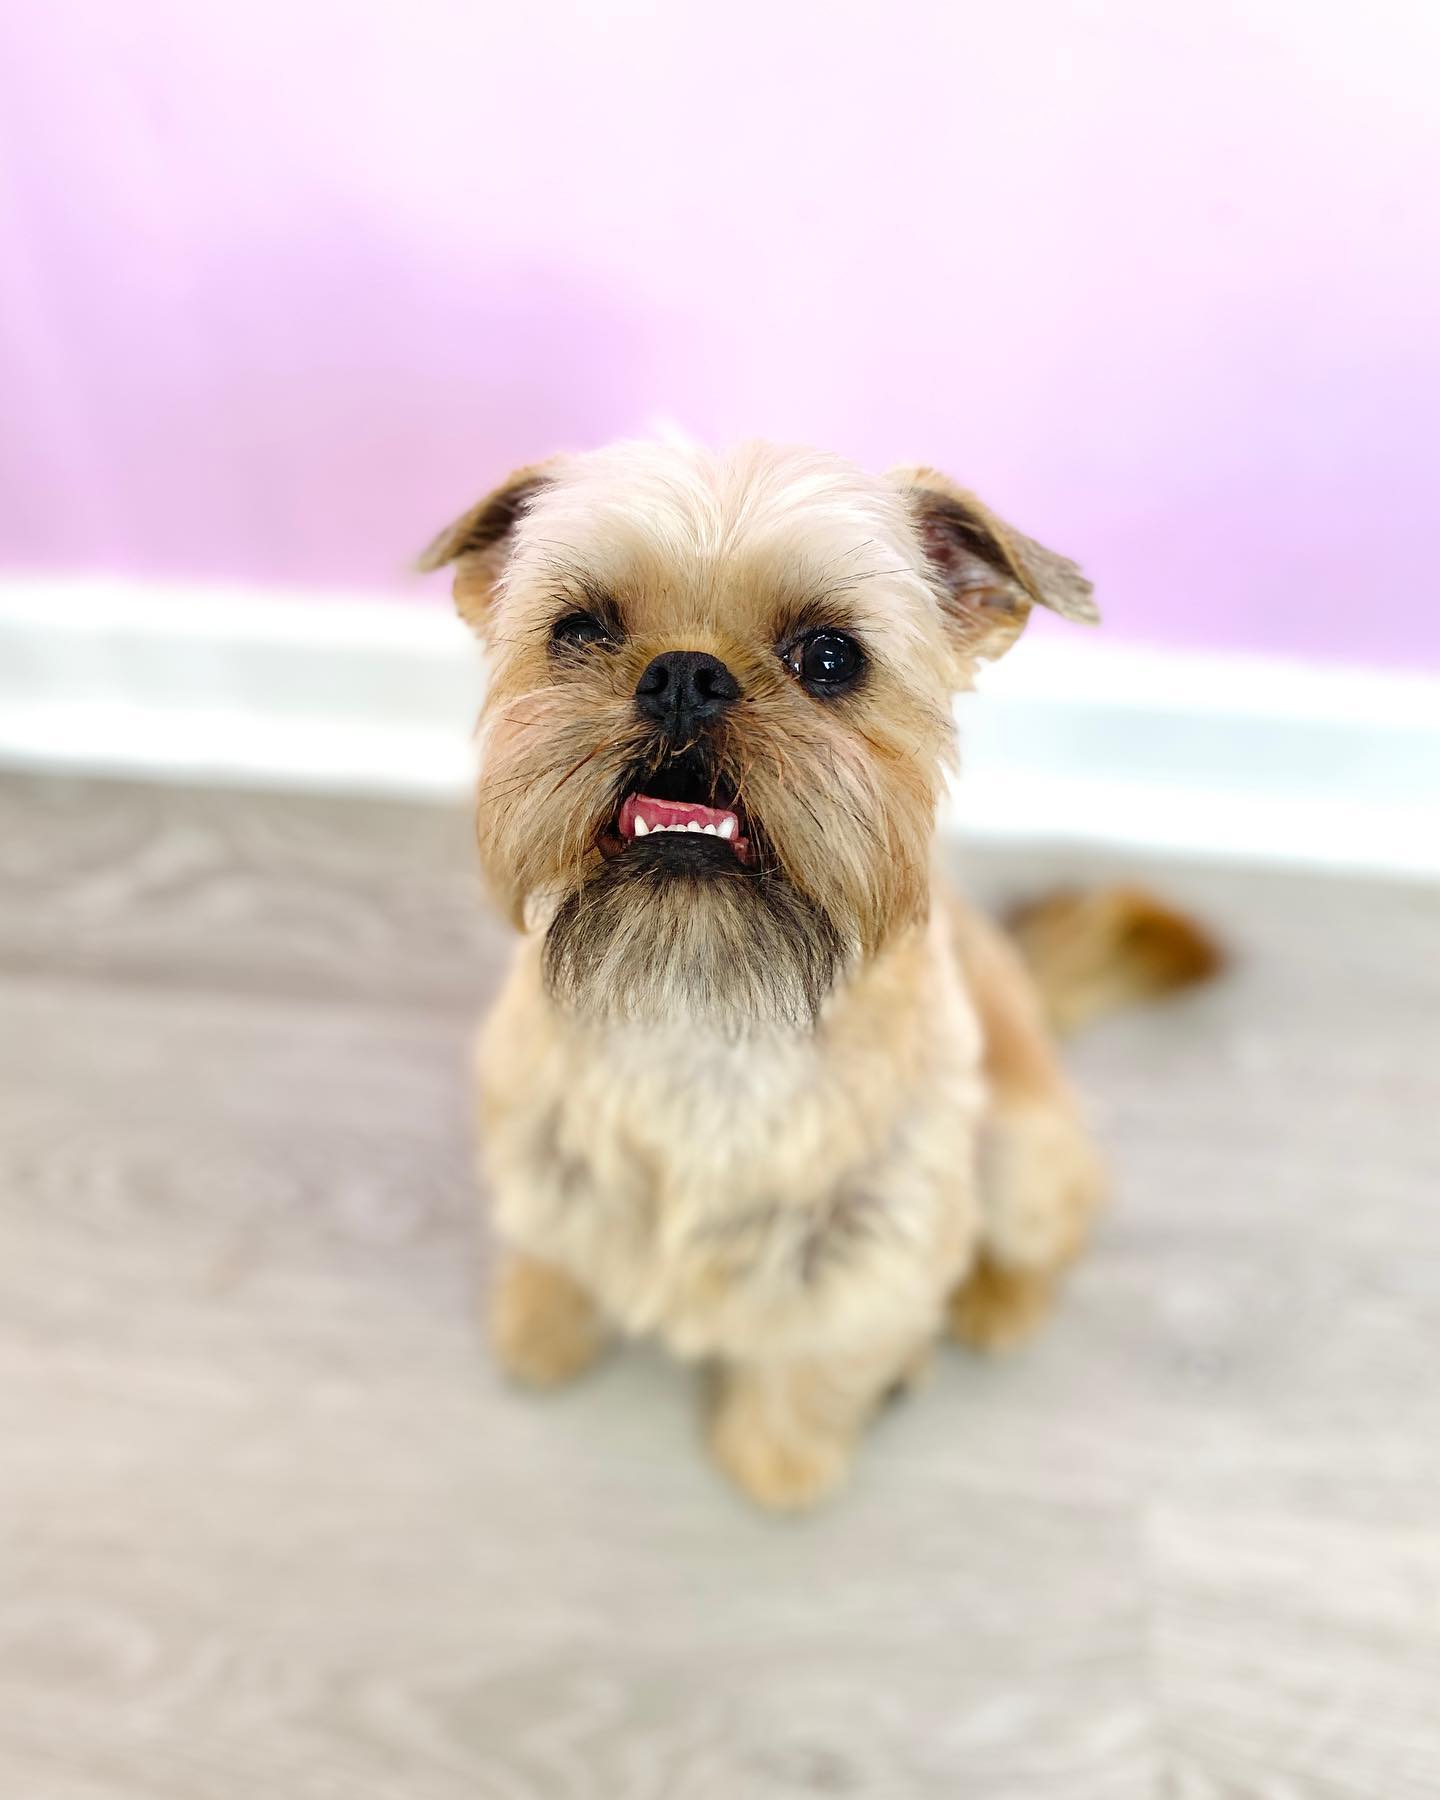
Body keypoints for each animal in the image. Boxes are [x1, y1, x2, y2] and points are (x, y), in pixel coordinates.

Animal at [420, 440, 1215, 1510]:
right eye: (579, 631)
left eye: (832, 658)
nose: (684, 674)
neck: (704, 1008)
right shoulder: (538, 1160)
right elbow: (552, 1249)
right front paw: (541, 1328)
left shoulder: (878, 1243)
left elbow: (824, 1355)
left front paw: (778, 1463)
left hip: (1020, 1154)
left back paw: (991, 1307)